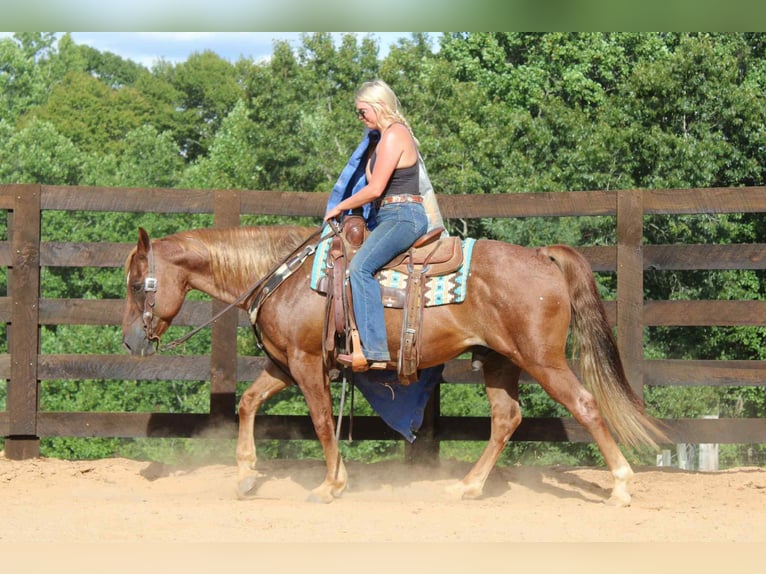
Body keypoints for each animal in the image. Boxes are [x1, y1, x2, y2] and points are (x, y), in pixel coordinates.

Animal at [121, 224, 668, 506]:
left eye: (136, 283)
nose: (129, 341)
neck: (283, 274)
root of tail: (541, 256)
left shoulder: (304, 363)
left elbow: (322, 421)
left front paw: (331, 484)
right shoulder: (283, 364)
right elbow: (249, 403)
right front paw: (246, 475)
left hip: (542, 359)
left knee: (586, 406)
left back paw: (621, 486)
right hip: (499, 361)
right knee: (506, 419)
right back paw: (468, 485)